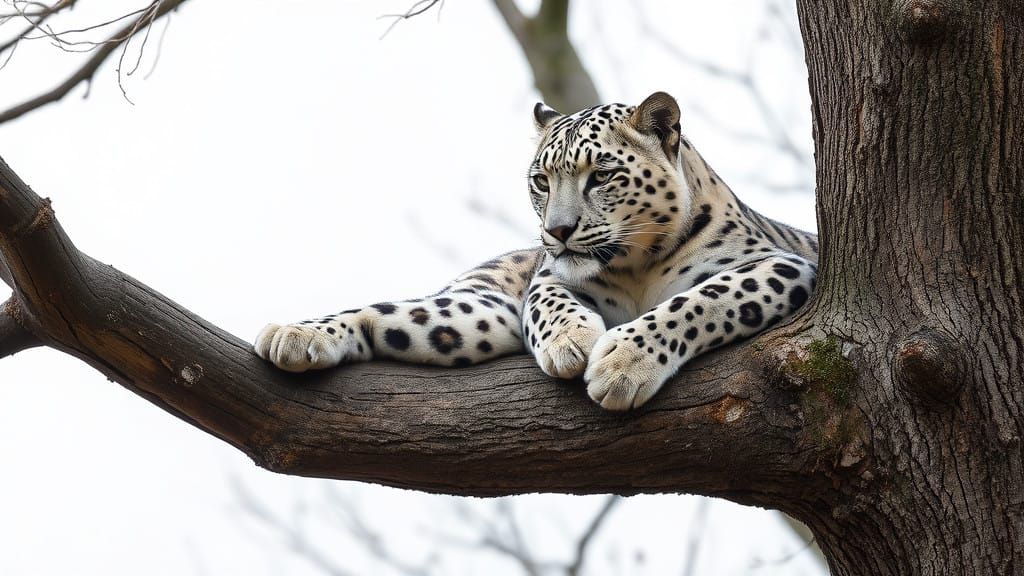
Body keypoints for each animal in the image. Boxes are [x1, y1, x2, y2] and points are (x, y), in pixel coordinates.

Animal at [254, 92, 818, 411]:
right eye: (541, 181)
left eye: (602, 176)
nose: (558, 230)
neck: (636, 265)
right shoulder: (547, 278)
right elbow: (550, 299)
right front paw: (572, 342)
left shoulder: (783, 265)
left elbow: (704, 301)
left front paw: (623, 363)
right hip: (478, 309)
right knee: (386, 312)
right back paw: (294, 334)